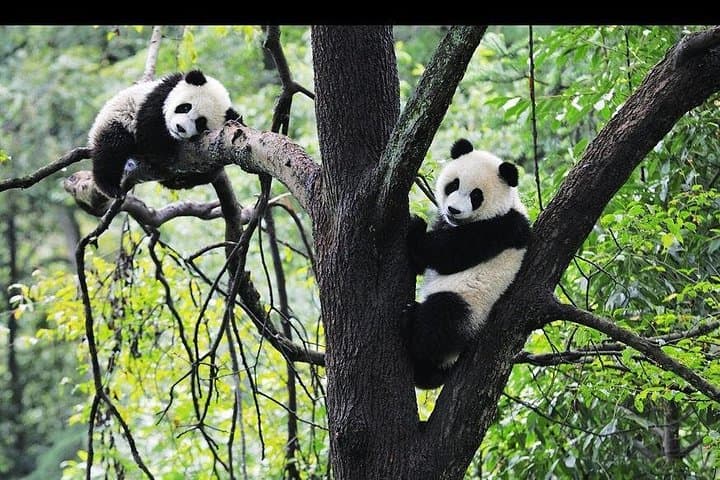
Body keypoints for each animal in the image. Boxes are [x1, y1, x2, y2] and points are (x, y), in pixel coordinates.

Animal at [88, 70, 241, 197]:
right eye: (185, 107)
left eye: (200, 123)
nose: (180, 128)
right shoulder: (158, 97)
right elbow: (151, 134)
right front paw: (164, 154)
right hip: (117, 118)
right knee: (112, 148)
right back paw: (110, 186)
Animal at [405, 138, 531, 389]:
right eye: (453, 185)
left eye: (476, 196)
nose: (453, 210)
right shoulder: (446, 221)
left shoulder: (502, 227)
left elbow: (450, 255)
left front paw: (416, 228)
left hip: (471, 305)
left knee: (439, 320)